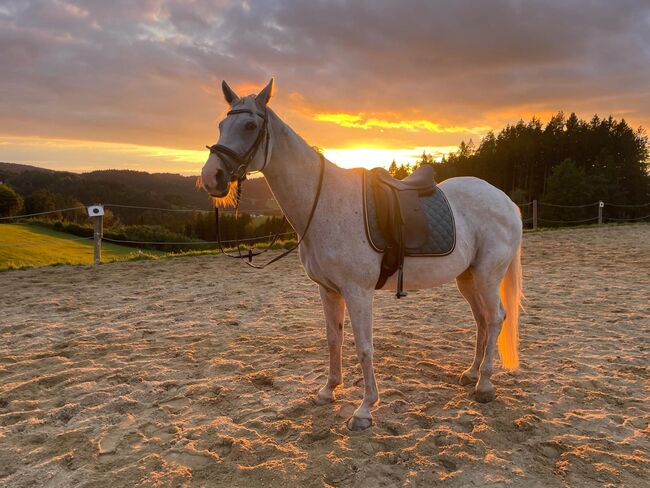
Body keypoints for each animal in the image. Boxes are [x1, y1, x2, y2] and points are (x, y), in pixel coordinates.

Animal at [200, 79, 524, 430]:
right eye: (220, 125)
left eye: (249, 126)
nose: (211, 177)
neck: (324, 203)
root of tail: (506, 200)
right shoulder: (328, 290)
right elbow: (334, 339)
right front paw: (328, 391)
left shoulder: (358, 291)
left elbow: (364, 347)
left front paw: (365, 408)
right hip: (467, 277)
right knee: (481, 320)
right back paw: (471, 373)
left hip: (487, 275)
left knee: (495, 318)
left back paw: (485, 385)